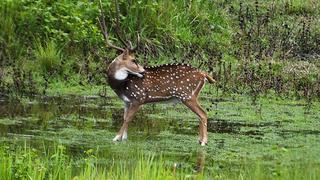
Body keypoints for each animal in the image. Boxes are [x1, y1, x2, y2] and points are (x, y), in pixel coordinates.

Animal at [99, 0, 216, 146]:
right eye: (134, 60)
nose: (143, 71)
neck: (121, 85)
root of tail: (204, 75)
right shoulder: (126, 101)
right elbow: (124, 117)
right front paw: (123, 137)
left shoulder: (139, 98)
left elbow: (128, 119)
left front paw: (117, 138)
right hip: (191, 95)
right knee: (200, 114)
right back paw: (200, 140)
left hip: (187, 95)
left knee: (203, 113)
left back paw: (204, 142)